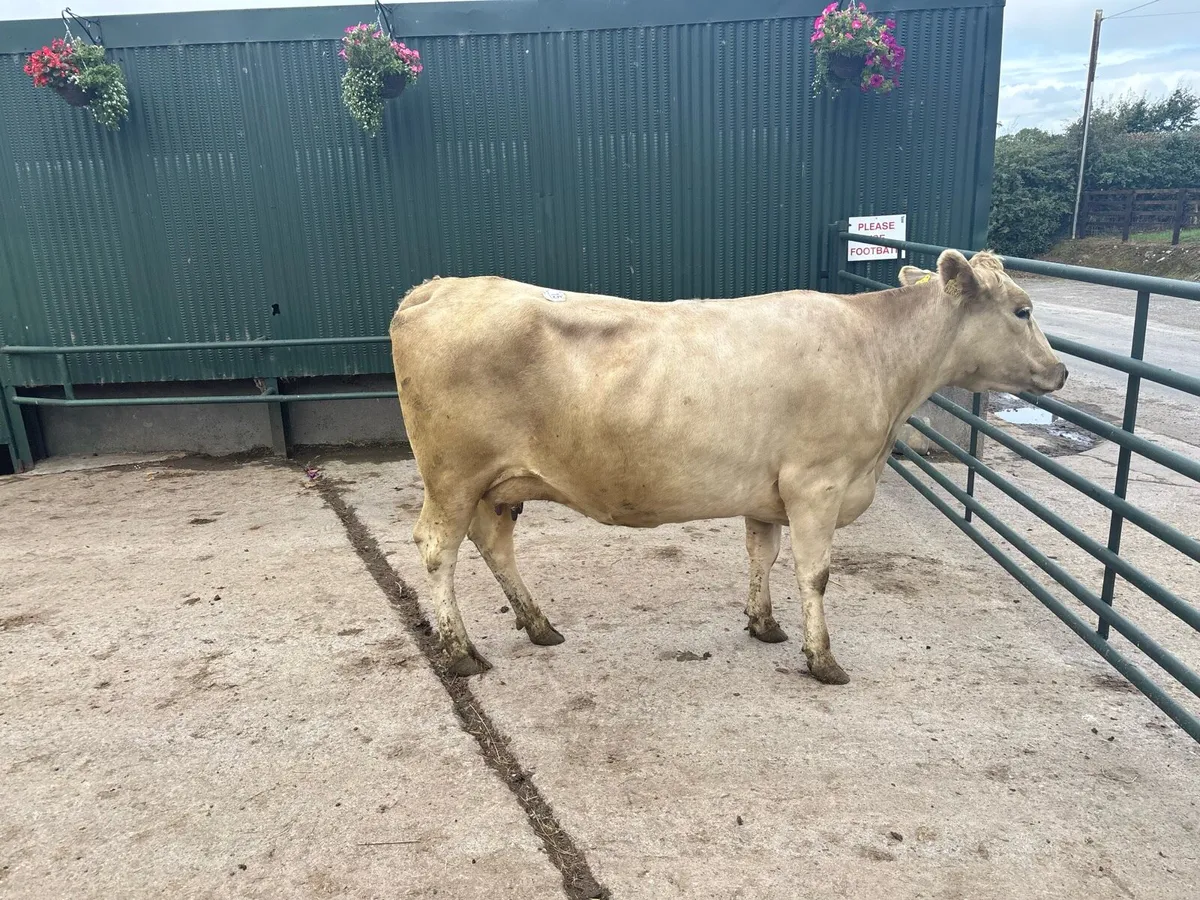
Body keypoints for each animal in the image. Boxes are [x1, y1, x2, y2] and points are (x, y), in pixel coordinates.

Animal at [388, 250, 1066, 683]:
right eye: (1024, 310)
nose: (1061, 371)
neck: (878, 355)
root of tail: (439, 286)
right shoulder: (817, 483)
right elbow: (815, 574)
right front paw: (822, 659)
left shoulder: (769, 491)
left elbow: (761, 555)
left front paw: (764, 625)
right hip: (451, 475)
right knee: (437, 549)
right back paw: (462, 652)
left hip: (494, 483)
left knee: (493, 543)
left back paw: (537, 624)